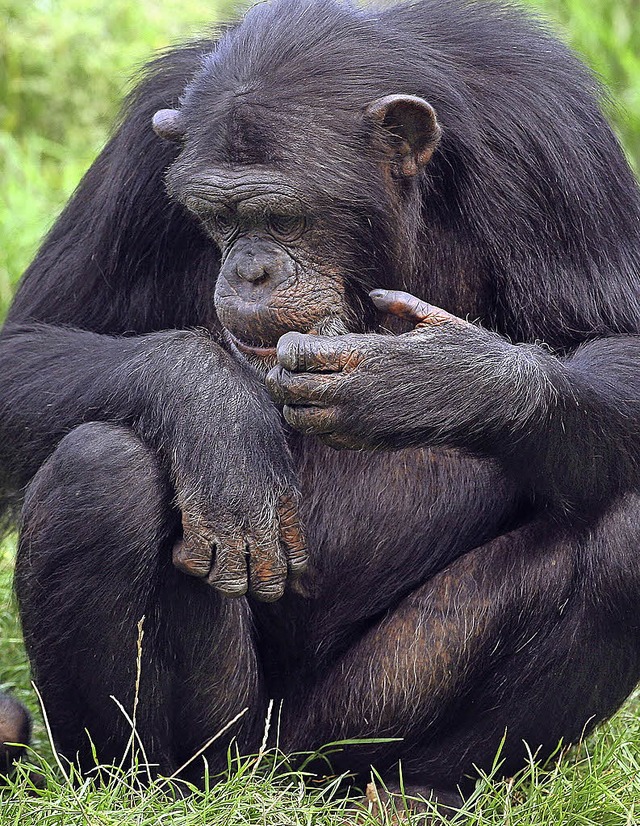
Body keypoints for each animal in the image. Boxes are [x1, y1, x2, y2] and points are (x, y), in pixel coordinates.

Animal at [3, 0, 640, 804]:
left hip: (360, 716)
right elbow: (29, 340)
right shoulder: (141, 155)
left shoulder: (555, 139)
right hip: (234, 737)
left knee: (626, 536)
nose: (250, 269)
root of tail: (287, 773)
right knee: (100, 470)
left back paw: (421, 789)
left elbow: (622, 342)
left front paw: (430, 382)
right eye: (217, 215)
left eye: (284, 216)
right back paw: (143, 786)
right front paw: (216, 412)